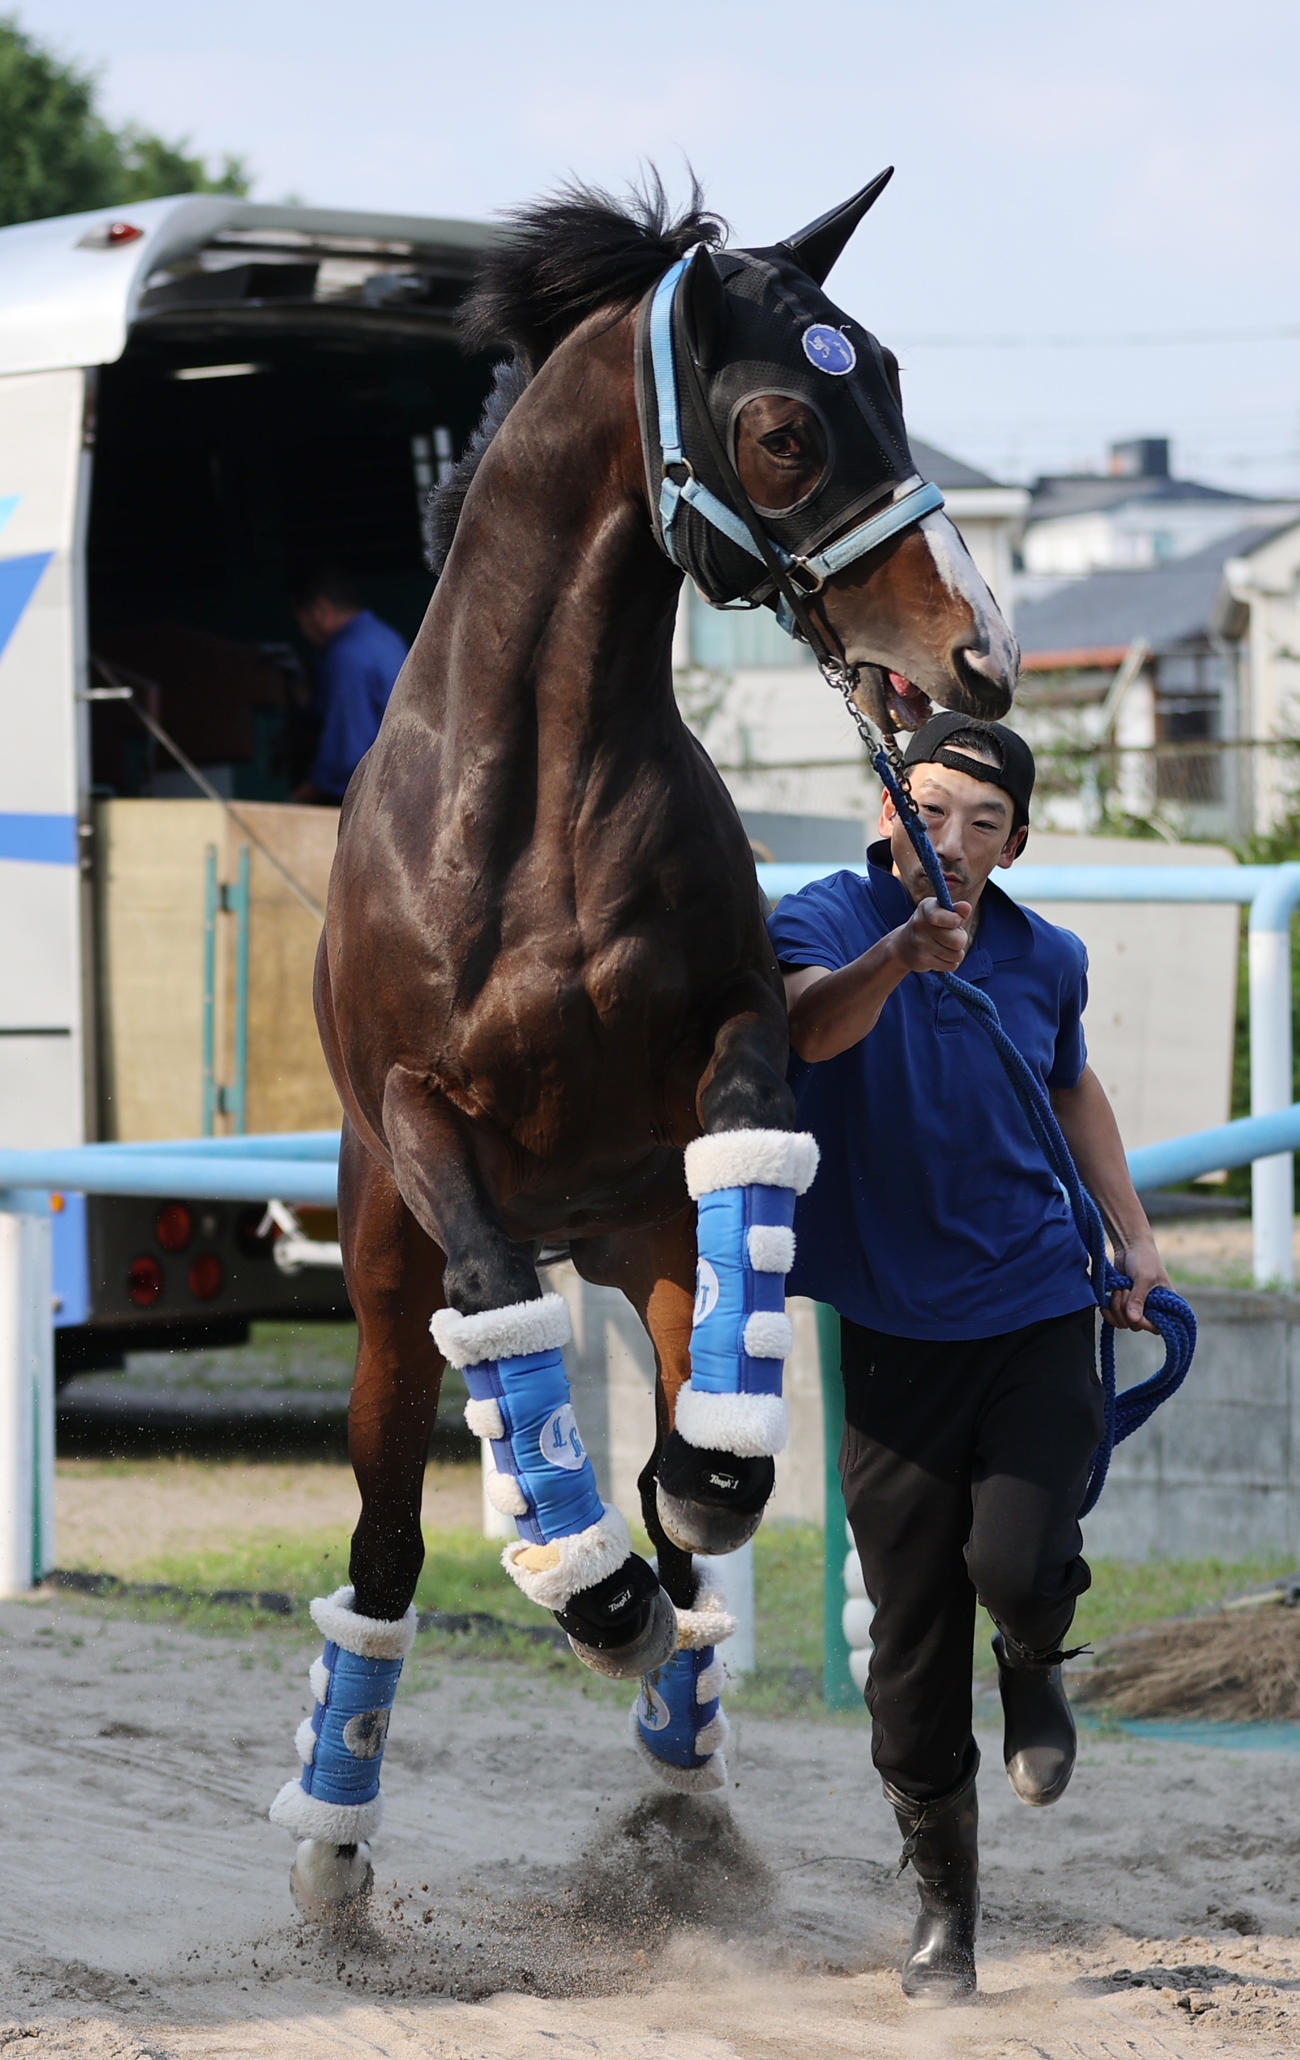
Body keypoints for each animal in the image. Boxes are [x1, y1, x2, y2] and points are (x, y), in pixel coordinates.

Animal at [269, 171, 1018, 1917]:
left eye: (889, 380)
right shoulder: (418, 1117)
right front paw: (589, 1586)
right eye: (786, 430)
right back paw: (339, 1839)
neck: (531, 798)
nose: (980, 658)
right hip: (385, 1306)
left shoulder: (735, 1036)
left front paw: (709, 1487)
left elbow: (746, 1138)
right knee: (386, 1555)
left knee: (680, 1487)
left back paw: (683, 1720)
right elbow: (492, 1296)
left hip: (645, 1249)